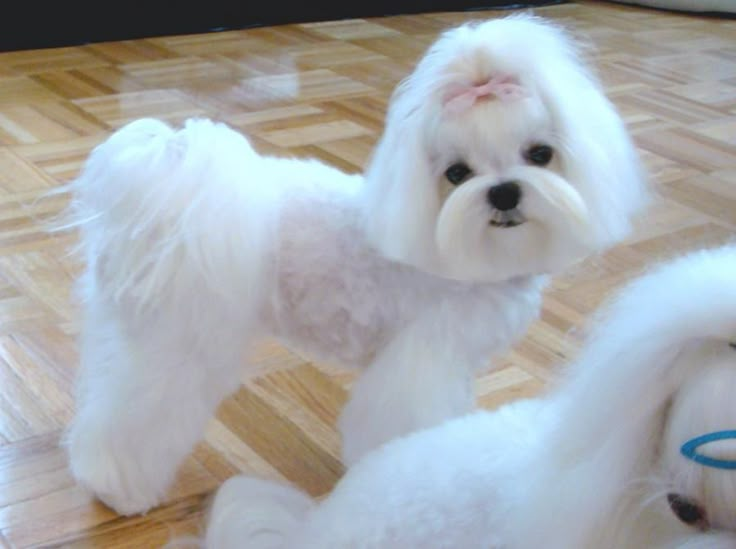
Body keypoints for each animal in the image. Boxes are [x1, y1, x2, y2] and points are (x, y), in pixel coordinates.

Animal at [66, 15, 648, 516]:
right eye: (456, 173)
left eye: (541, 154)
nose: (504, 193)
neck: (456, 255)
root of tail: (160, 194)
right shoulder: (420, 358)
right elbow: (402, 421)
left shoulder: (453, 361)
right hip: (175, 343)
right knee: (131, 420)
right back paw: (119, 489)